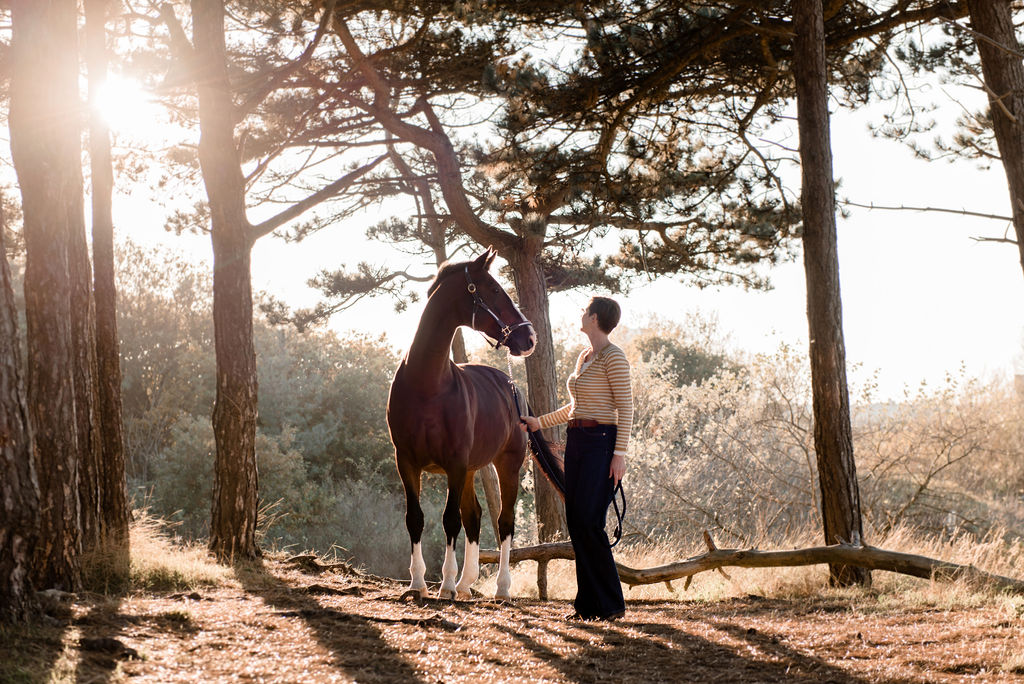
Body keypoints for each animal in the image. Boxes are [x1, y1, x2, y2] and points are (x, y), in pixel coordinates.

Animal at [387, 246, 540, 597]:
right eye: (494, 290)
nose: (529, 337)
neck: (427, 385)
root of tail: (511, 386)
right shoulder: (407, 461)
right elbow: (415, 518)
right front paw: (417, 584)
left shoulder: (454, 463)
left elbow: (449, 520)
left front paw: (444, 585)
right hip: (471, 470)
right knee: (475, 515)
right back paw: (467, 581)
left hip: (507, 464)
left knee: (504, 520)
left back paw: (500, 587)